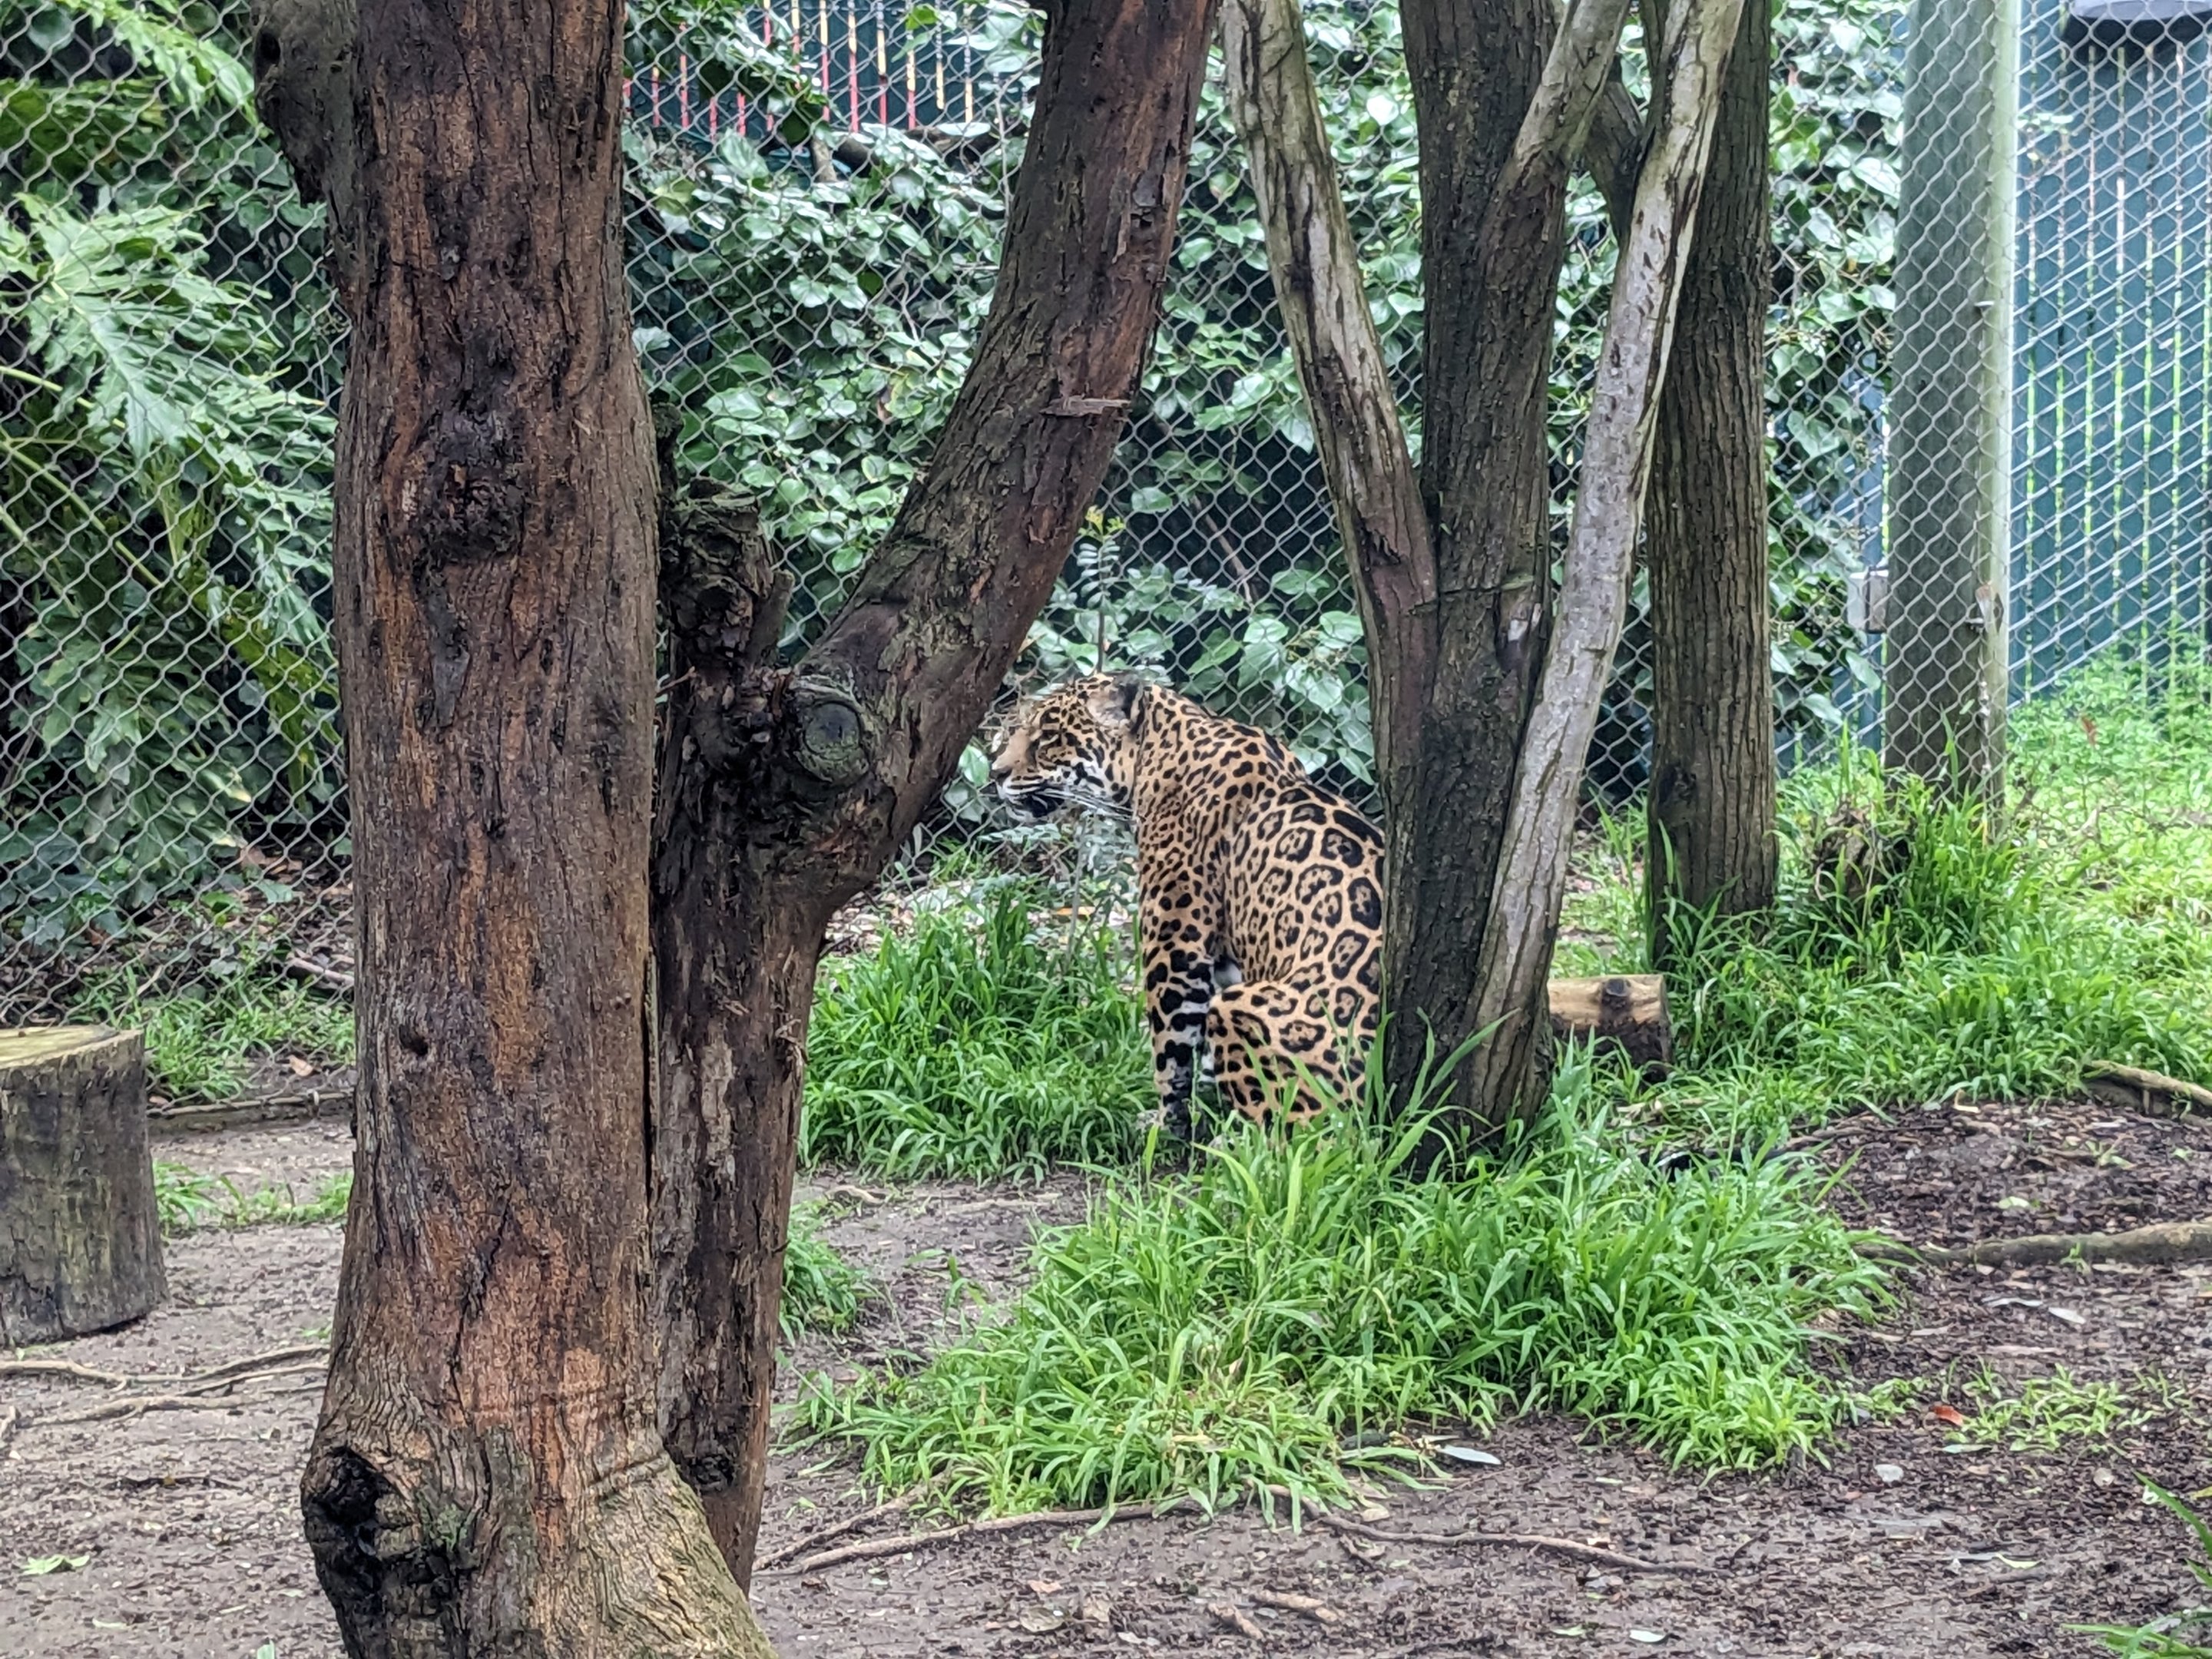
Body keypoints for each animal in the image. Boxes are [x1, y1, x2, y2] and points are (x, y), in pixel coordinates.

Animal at [989, 672, 1384, 1139]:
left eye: (1049, 736)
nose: (995, 773)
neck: (1156, 756)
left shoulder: (1176, 941)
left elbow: (1171, 1042)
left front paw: (1167, 1121)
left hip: (1245, 1013)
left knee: (1303, 1136)